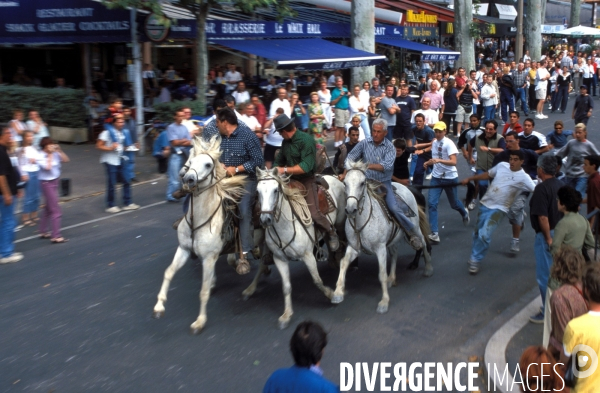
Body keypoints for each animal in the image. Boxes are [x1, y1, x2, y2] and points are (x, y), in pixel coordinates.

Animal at [152, 136, 253, 334]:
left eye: (208, 164)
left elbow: (203, 291)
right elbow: (168, 272)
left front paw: (199, 321)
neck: (199, 221)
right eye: (190, 161)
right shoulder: (184, 249)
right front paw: (159, 306)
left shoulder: (208, 257)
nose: (188, 179)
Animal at [253, 166, 346, 328]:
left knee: (339, 238)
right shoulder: (279, 259)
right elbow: (286, 287)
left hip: (340, 222)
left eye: (276, 190)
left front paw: (332, 295)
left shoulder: (307, 256)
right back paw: (332, 260)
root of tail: (335, 176)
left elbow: (317, 280)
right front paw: (286, 315)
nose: (265, 219)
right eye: (257, 191)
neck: (284, 226)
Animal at [332, 159, 432, 312]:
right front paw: (337, 293)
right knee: (395, 253)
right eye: (345, 183)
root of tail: (407, 188)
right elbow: (343, 263)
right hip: (392, 240)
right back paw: (392, 278)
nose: (350, 209)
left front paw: (384, 302)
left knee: (423, 243)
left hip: (415, 227)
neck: (361, 221)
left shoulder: (380, 249)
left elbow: (382, 274)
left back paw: (427, 268)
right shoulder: (354, 247)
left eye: (362, 183)